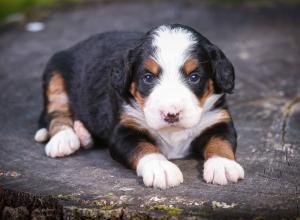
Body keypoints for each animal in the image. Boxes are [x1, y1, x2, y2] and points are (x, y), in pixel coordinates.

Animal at [35, 24, 245, 189]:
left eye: (194, 77)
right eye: (148, 77)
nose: (171, 114)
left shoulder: (218, 119)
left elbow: (220, 141)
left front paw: (222, 165)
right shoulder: (124, 131)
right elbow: (144, 147)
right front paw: (161, 168)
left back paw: (83, 134)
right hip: (55, 72)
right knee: (56, 112)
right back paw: (64, 139)